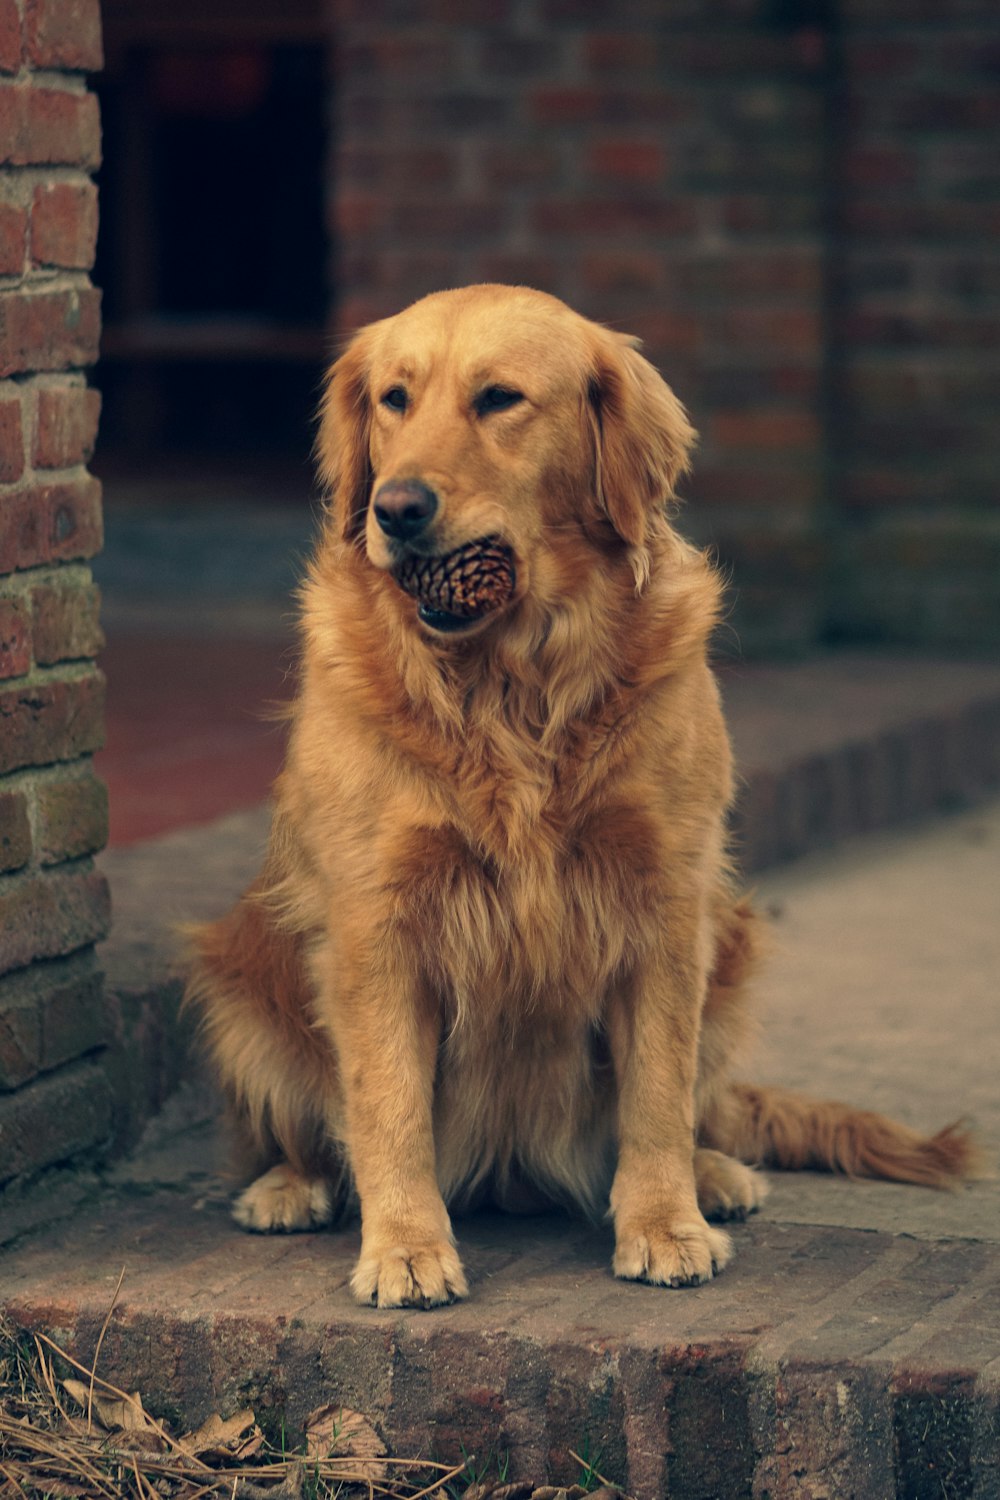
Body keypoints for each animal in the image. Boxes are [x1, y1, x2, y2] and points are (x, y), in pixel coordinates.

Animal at [183, 286, 971, 1308]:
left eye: (499, 399)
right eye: (395, 399)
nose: (395, 508)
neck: (514, 682)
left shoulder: (666, 903)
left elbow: (658, 1093)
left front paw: (665, 1223)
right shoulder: (375, 918)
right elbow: (387, 1104)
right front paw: (405, 1247)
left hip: (734, 943)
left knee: (699, 1106)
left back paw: (714, 1175)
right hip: (241, 969)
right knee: (304, 1128)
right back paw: (290, 1187)